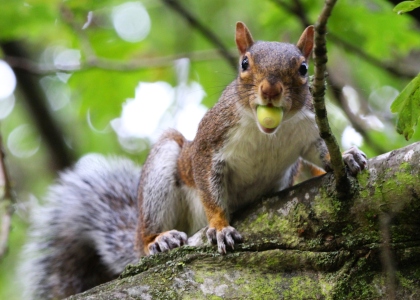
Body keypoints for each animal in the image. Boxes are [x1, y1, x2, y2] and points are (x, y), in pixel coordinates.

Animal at [20, 22, 368, 298]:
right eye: (244, 63)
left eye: (303, 68)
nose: (270, 90)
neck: (267, 132)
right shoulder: (209, 145)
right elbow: (210, 190)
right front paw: (220, 227)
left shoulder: (308, 131)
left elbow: (318, 151)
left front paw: (347, 156)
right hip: (162, 174)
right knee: (147, 235)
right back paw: (158, 240)